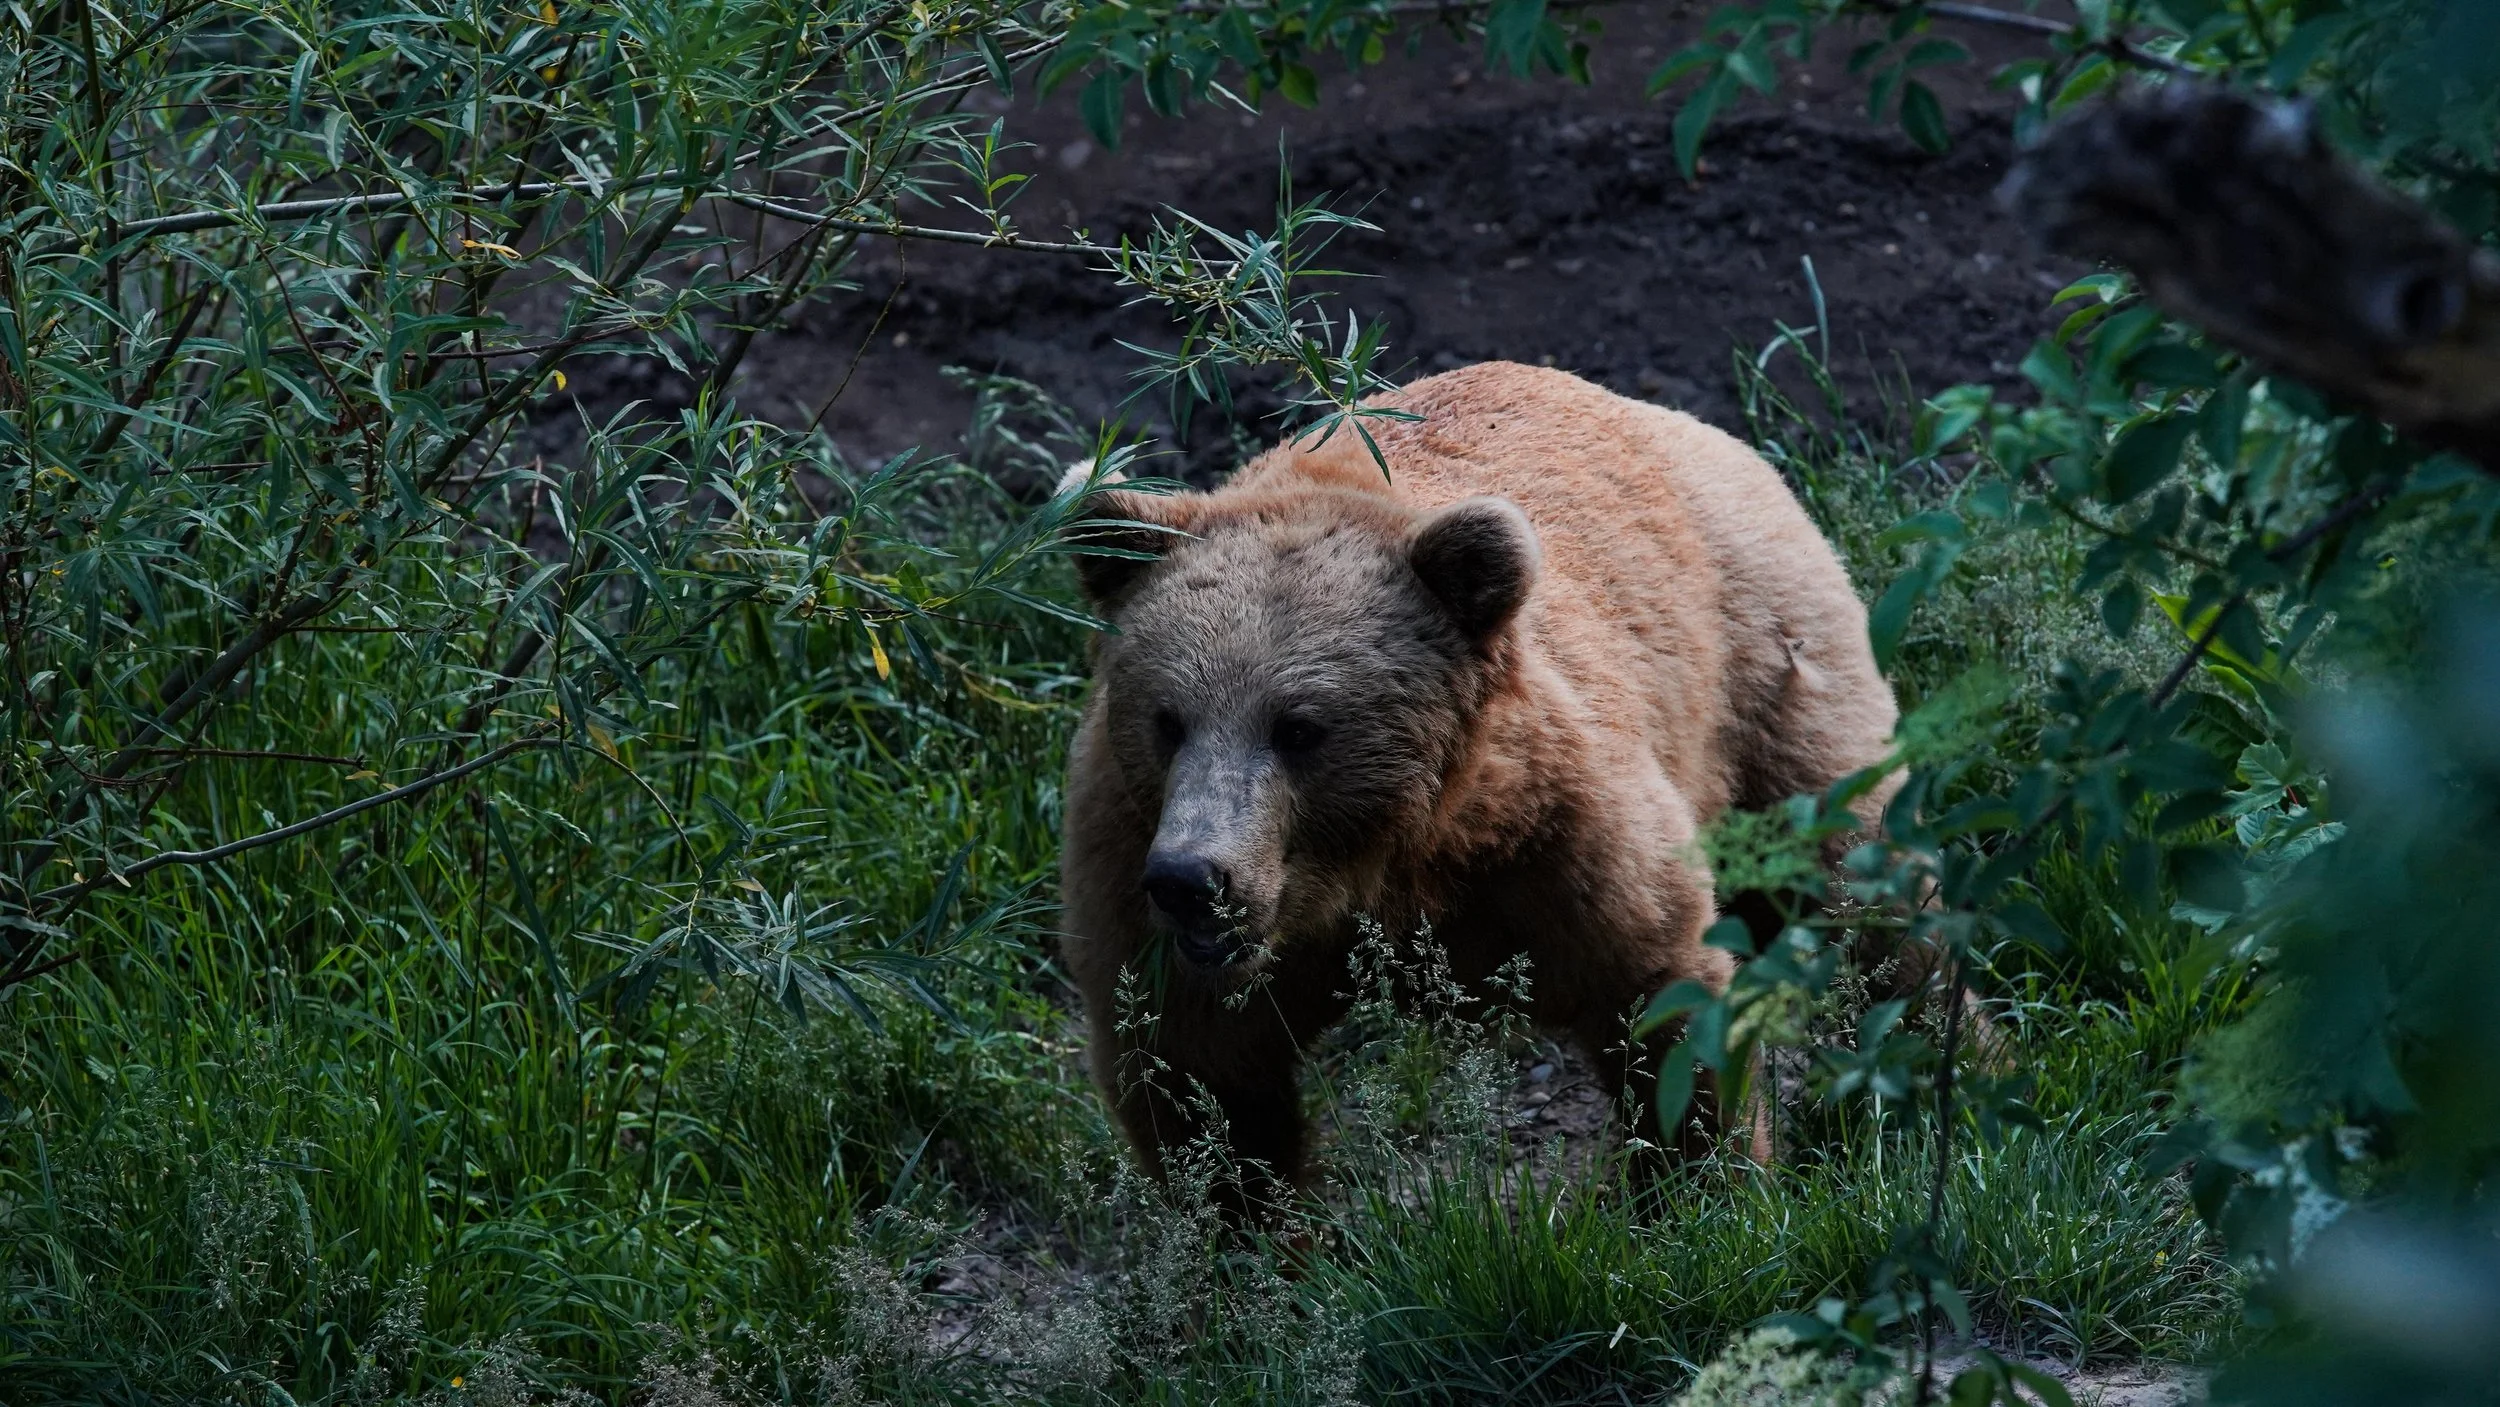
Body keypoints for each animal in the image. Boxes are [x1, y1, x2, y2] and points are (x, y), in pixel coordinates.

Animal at [1055, 361, 1899, 1201]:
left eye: (1298, 727)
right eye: (1168, 719)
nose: (1193, 878)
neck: (1390, 864)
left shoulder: (1557, 830)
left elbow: (1656, 986)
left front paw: (1708, 1180)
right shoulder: (1133, 867)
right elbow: (1200, 1080)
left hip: (1765, 667)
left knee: (1858, 873)